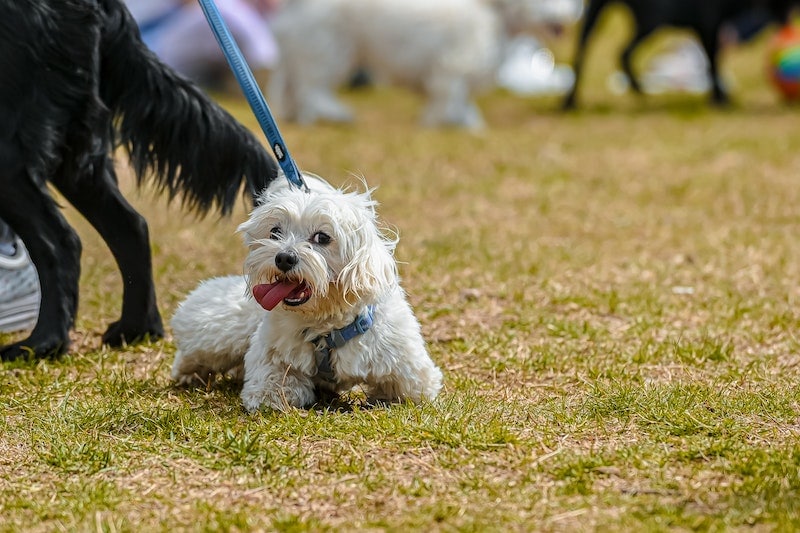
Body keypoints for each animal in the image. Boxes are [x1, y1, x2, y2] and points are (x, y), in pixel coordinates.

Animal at [0, 0, 282, 360]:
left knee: (60, 242)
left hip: (13, 150)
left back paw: (42, 343)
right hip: (77, 154)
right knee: (130, 227)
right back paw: (134, 329)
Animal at [170, 175, 444, 412]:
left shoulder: (408, 369)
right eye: (275, 232)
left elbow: (410, 391)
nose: (284, 257)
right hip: (219, 330)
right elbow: (271, 387)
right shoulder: (272, 355)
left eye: (322, 237)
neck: (326, 324)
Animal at [268, 0, 580, 128]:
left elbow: (457, 103)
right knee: (312, 88)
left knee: (297, 88)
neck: (496, 14)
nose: (571, 15)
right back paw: (335, 113)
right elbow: (453, 101)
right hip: (331, 48)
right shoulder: (454, 66)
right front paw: (452, 124)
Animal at [560, 0, 792, 108]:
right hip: (650, 20)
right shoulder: (709, 25)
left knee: (604, 52)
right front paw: (720, 99)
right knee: (611, 53)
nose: (788, 25)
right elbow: (713, 63)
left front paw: (721, 97)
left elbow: (713, 63)